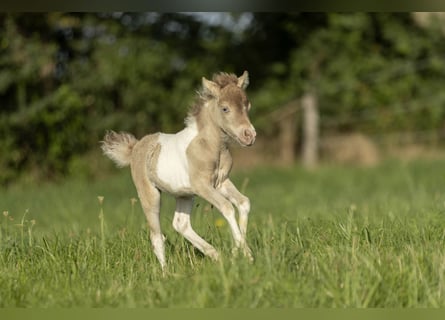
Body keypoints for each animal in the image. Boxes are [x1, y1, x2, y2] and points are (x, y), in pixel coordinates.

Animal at [100, 71, 253, 268]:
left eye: (247, 105)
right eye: (225, 108)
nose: (249, 135)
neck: (210, 146)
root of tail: (134, 148)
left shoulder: (221, 182)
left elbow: (243, 203)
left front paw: (238, 252)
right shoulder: (202, 186)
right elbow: (227, 207)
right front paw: (245, 254)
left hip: (184, 194)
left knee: (180, 224)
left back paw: (215, 255)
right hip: (151, 195)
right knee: (157, 237)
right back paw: (166, 272)